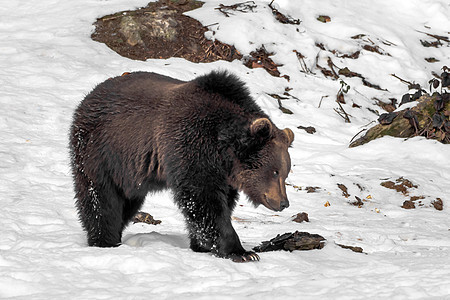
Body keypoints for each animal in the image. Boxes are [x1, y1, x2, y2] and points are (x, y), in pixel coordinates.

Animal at [69, 69, 296, 262]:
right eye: (274, 171)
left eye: (285, 173)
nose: (283, 203)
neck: (222, 148)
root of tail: (89, 96)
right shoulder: (191, 146)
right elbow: (204, 200)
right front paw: (242, 252)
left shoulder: (224, 173)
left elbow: (217, 203)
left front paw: (202, 245)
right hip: (101, 152)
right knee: (101, 197)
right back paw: (104, 239)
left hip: (130, 172)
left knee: (127, 202)